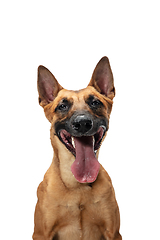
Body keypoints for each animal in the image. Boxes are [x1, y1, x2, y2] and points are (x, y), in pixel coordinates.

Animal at [33, 56, 122, 240]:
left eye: (95, 102)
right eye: (62, 106)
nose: (82, 123)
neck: (77, 186)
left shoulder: (113, 233)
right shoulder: (42, 234)